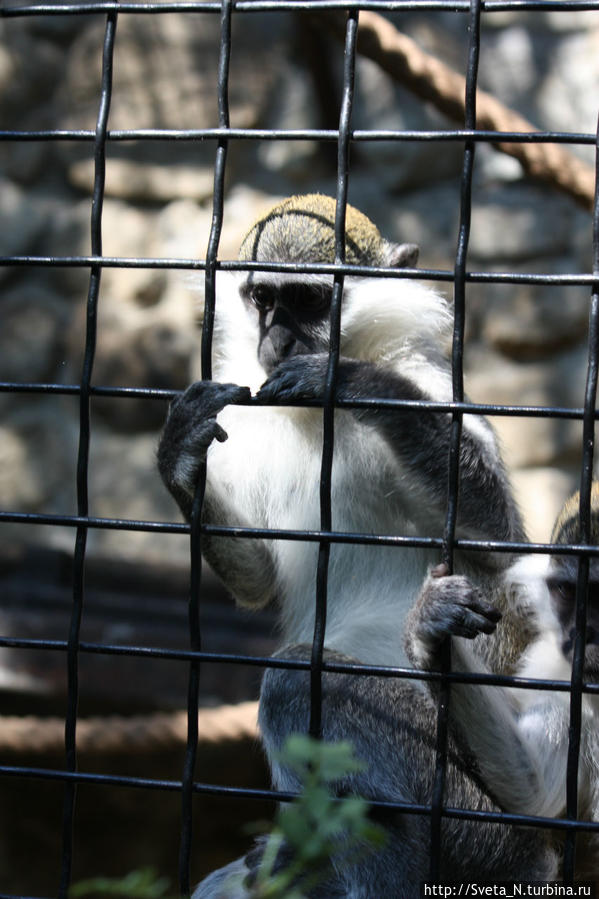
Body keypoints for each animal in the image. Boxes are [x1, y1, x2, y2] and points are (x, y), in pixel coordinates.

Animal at [157, 193, 548, 888]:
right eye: (263, 299)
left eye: (311, 301)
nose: (277, 339)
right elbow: (258, 577)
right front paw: (180, 454)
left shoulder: (433, 385)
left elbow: (497, 545)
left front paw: (354, 380)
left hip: (477, 823)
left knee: (295, 683)